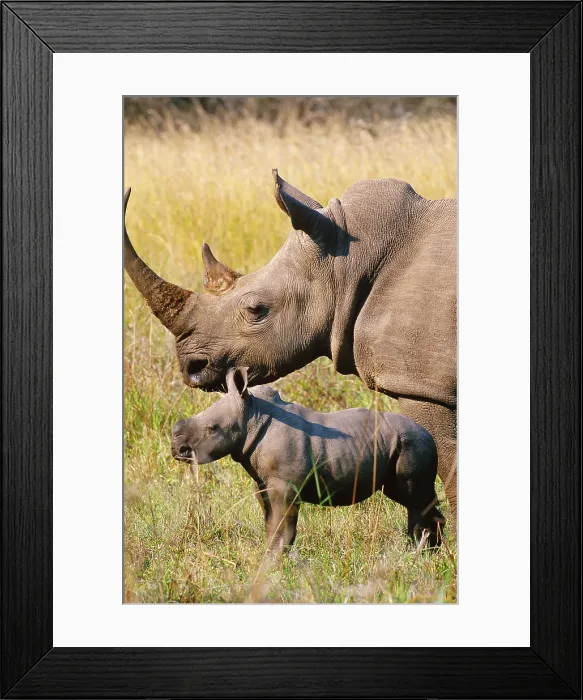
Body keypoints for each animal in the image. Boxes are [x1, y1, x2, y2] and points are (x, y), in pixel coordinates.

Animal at [172, 368, 445, 551]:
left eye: (212, 429)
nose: (177, 448)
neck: (252, 418)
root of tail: (429, 434)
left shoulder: (285, 487)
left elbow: (284, 527)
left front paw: (276, 560)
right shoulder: (263, 483)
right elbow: (270, 523)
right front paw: (269, 557)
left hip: (412, 443)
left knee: (413, 498)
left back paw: (417, 552)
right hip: (404, 443)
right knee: (412, 498)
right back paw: (430, 553)